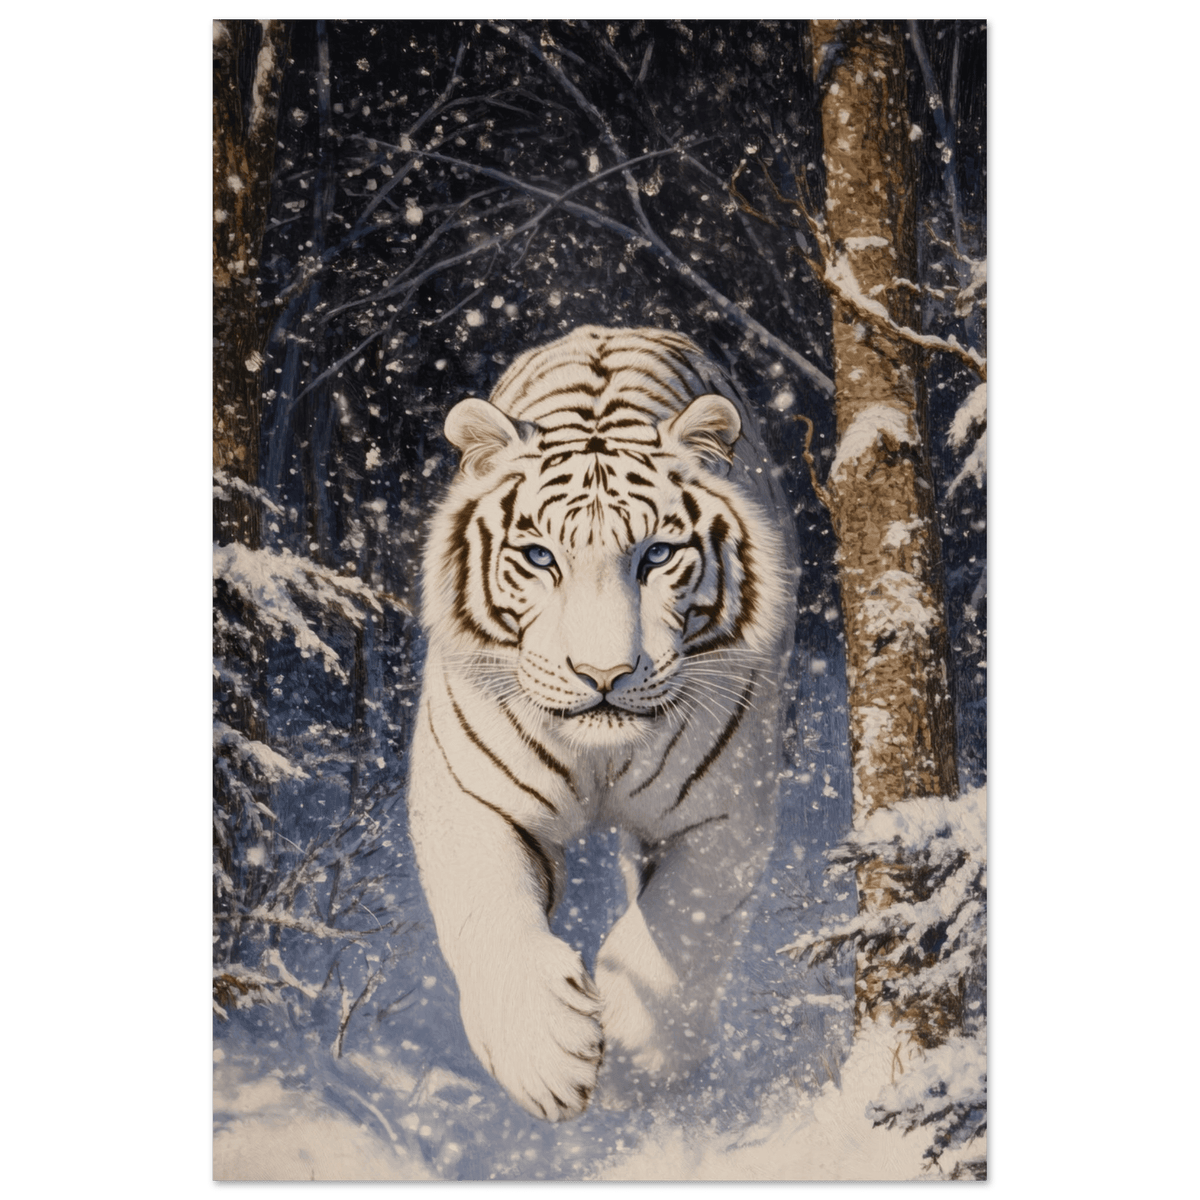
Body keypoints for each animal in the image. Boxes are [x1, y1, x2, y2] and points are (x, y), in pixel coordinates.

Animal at [407, 326, 797, 1122]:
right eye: (538, 557)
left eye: (657, 554)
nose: (603, 676)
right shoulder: (468, 796)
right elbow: (488, 911)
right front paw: (543, 1056)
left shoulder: (723, 811)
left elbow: (678, 930)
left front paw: (638, 1063)